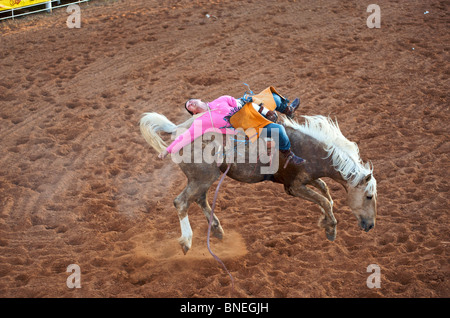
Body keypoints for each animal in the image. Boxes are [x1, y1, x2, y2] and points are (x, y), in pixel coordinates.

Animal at [140, 113, 376, 255]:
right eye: (369, 196)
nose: (371, 225)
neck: (307, 149)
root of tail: (177, 130)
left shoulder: (307, 179)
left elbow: (326, 194)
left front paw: (325, 222)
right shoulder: (293, 187)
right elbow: (324, 201)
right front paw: (331, 229)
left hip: (203, 178)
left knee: (199, 199)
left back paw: (217, 229)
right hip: (203, 177)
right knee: (181, 202)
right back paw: (187, 241)